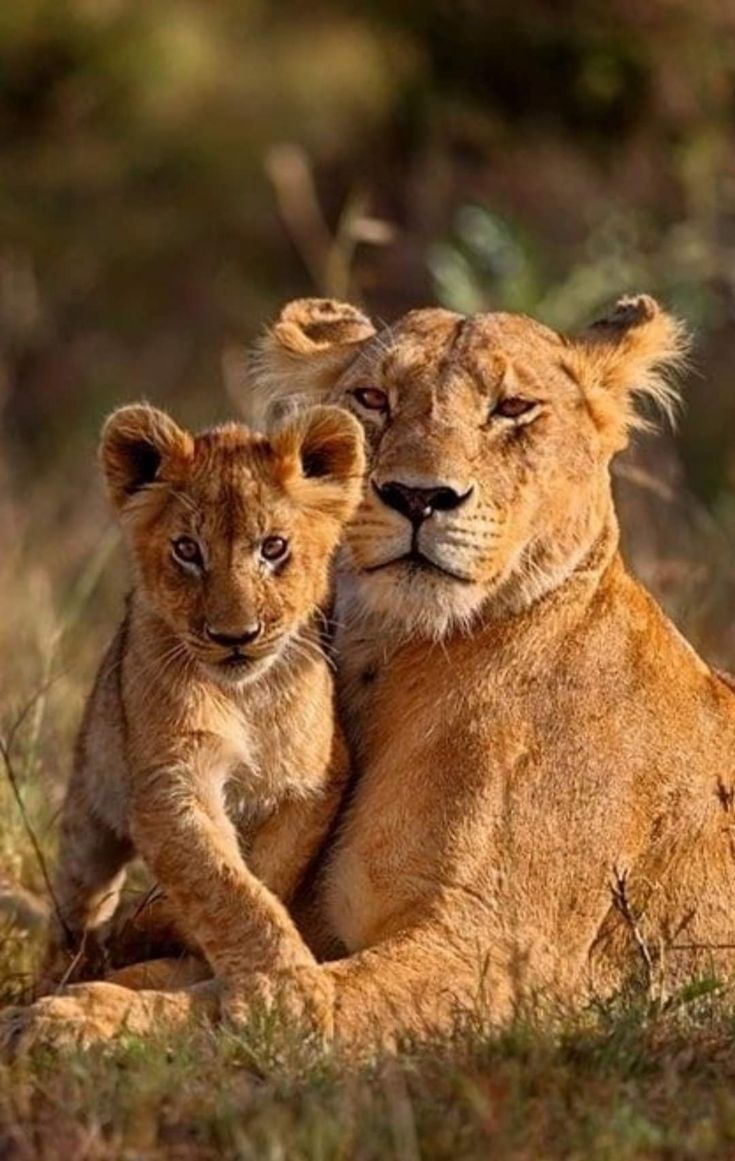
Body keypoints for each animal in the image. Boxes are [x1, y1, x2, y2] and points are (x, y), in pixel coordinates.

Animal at [41, 401, 364, 998]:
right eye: (187, 550)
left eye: (273, 548)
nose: (234, 636)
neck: (246, 696)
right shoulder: (171, 780)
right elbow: (223, 884)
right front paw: (284, 986)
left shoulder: (314, 780)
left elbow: (267, 871)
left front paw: (172, 930)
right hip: (88, 811)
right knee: (79, 900)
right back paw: (69, 966)